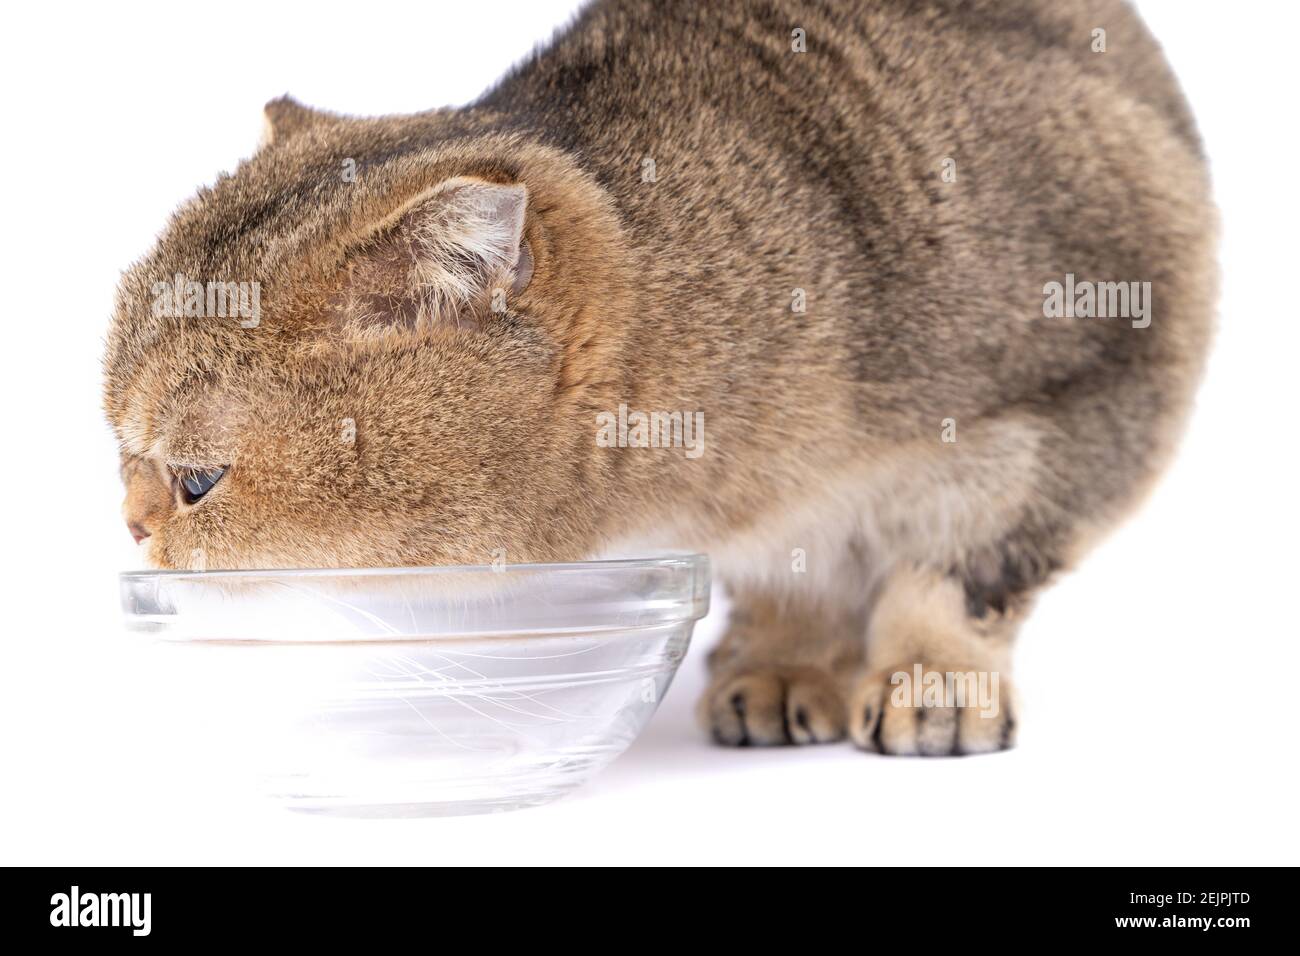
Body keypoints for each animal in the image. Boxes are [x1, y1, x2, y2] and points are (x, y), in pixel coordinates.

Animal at [106, 1, 1211, 764]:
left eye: (198, 479)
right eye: (121, 449)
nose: (130, 523)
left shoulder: (1118, 359)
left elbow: (959, 569)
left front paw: (930, 673)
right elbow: (800, 571)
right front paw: (786, 653)